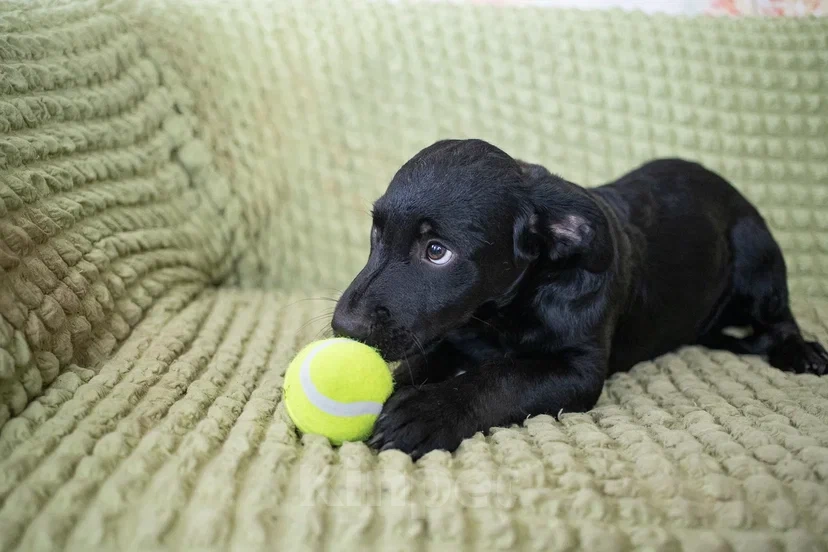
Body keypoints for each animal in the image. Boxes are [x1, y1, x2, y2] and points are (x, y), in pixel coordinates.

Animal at [332, 138, 828, 458]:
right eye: (376, 234)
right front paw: (391, 391)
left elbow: (502, 378)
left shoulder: (578, 369)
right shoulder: (451, 337)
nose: (343, 327)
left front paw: (427, 411)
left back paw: (799, 351)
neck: (502, 314)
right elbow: (412, 367)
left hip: (757, 257)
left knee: (780, 315)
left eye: (437, 251)